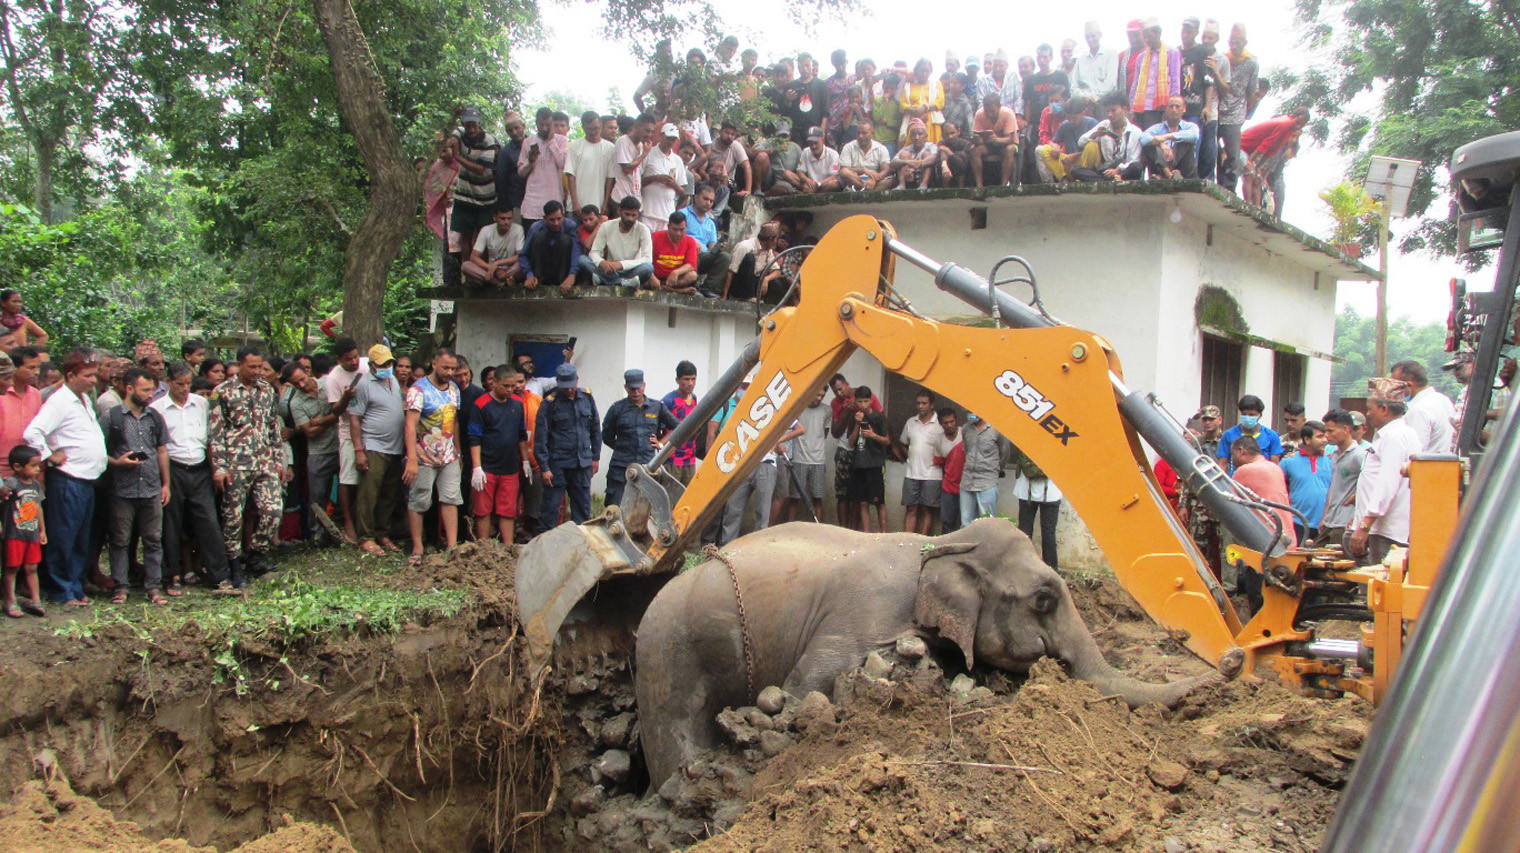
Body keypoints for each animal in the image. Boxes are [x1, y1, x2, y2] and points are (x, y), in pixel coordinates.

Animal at [635, 510, 1216, 784]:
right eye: (1044, 600)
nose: (1230, 661)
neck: (943, 542)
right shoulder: (866, 608)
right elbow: (806, 687)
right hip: (666, 652)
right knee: (674, 730)